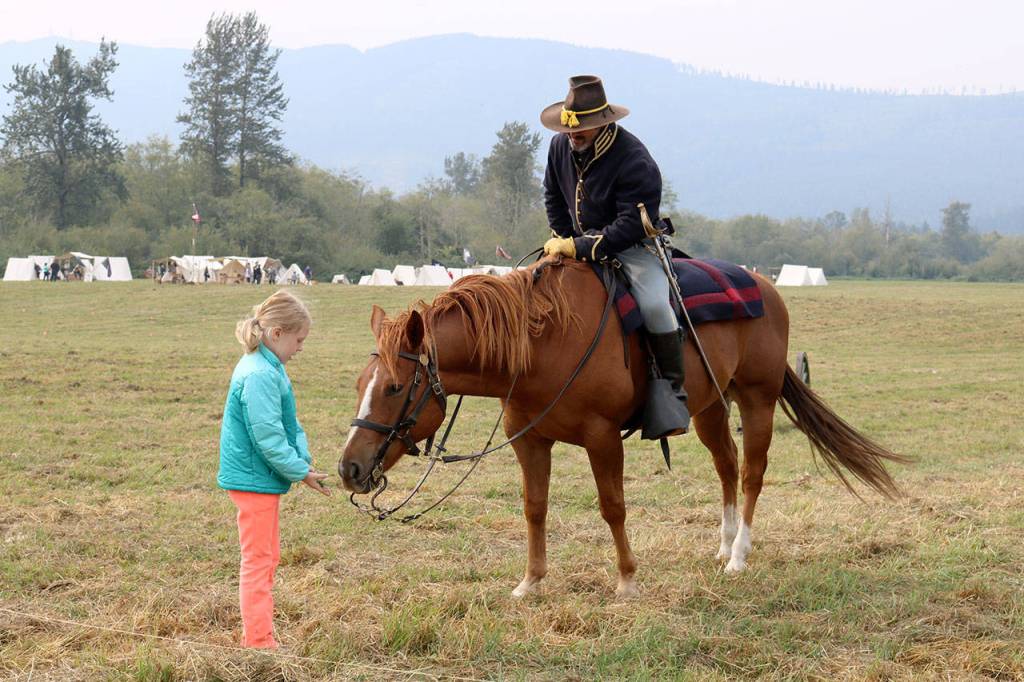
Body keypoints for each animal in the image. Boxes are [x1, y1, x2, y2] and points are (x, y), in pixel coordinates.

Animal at [339, 258, 906, 598]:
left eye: (394, 387)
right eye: (361, 382)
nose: (350, 468)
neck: (542, 344)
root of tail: (765, 287)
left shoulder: (602, 438)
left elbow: (613, 507)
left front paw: (628, 581)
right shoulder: (532, 441)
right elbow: (534, 508)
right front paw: (531, 582)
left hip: (757, 400)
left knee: (751, 473)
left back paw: (740, 556)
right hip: (710, 407)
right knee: (726, 467)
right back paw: (723, 545)